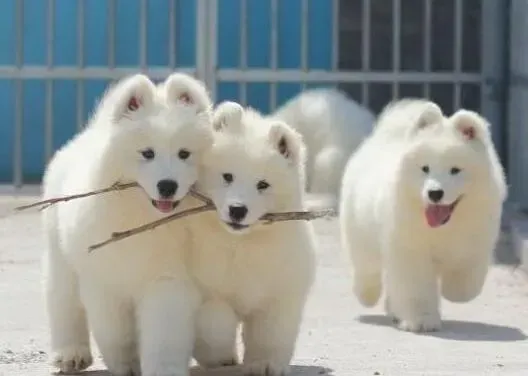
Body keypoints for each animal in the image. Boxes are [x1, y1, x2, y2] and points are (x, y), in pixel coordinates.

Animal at [41, 72, 214, 374]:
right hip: (61, 255)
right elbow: (116, 334)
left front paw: (163, 369)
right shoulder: (105, 281)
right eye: (147, 153)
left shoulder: (167, 279)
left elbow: (164, 336)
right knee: (63, 301)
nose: (167, 186)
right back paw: (70, 353)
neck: (145, 219)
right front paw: (126, 366)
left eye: (184, 154)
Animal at [188, 101, 316, 374]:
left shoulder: (279, 288)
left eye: (263, 184)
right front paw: (221, 356)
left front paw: (265, 364)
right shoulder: (202, 280)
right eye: (227, 176)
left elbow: (270, 331)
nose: (238, 210)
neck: (241, 242)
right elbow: (215, 318)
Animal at [338, 97, 508, 332]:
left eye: (455, 170)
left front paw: (453, 291)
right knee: (367, 267)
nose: (435, 193)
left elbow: (465, 282)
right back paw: (367, 294)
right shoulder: (410, 248)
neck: (444, 226)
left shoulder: (474, 241)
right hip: (360, 229)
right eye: (425, 169)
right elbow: (415, 286)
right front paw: (421, 320)